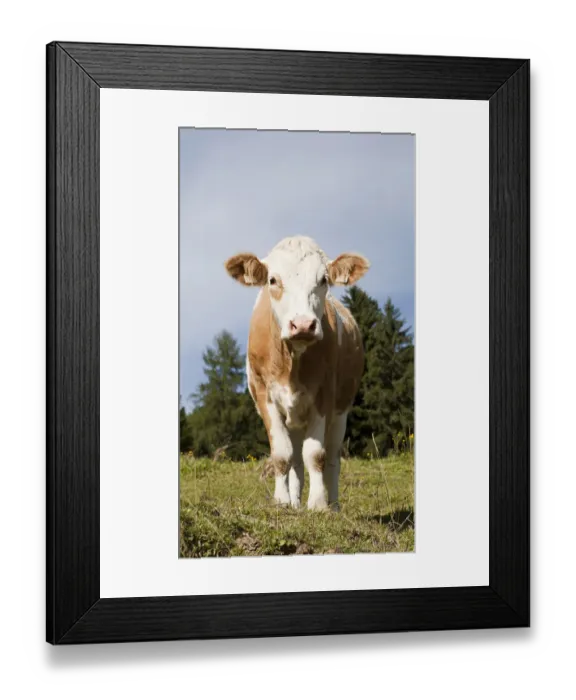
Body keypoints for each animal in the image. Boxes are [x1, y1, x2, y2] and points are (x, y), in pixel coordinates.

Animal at [224, 236, 369, 511]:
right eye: (273, 280)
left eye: (323, 280)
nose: (303, 325)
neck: (291, 361)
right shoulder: (265, 396)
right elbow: (283, 455)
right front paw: (282, 501)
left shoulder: (324, 396)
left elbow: (316, 454)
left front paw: (318, 503)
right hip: (293, 419)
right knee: (296, 461)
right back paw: (294, 501)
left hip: (341, 411)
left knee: (332, 457)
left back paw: (334, 505)